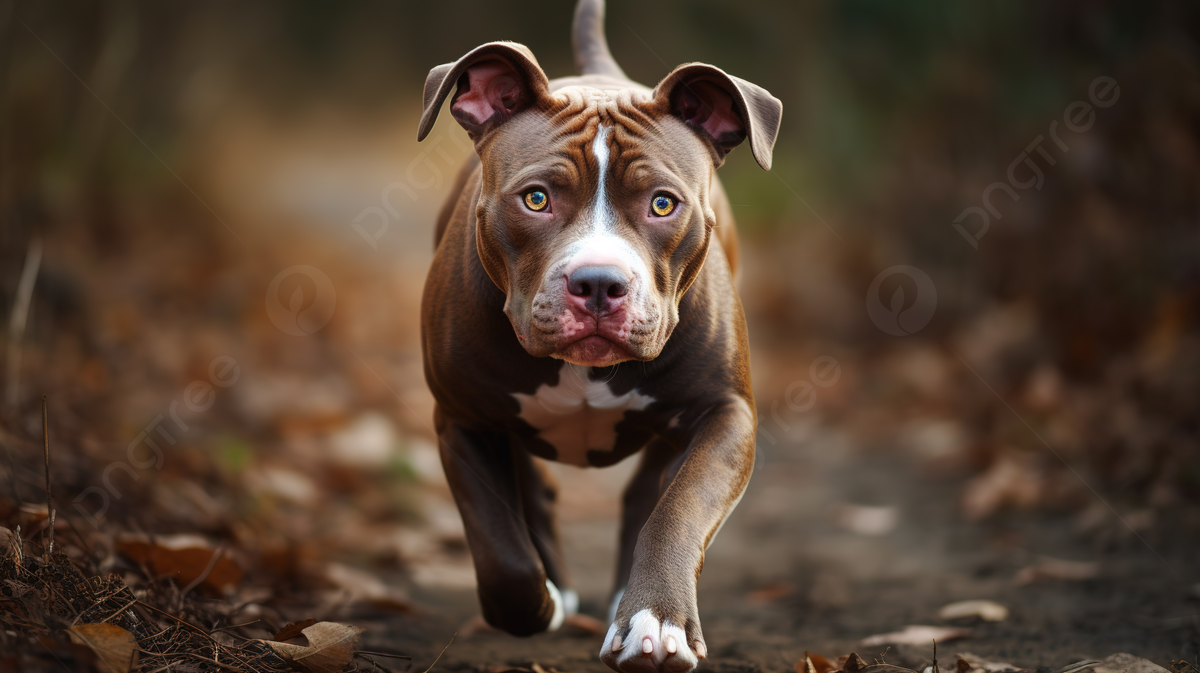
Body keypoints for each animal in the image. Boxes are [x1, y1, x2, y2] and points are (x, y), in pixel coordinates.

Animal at [417, 1, 782, 667]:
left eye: (663, 204)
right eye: (536, 198)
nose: (597, 283)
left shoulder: (726, 414)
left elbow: (678, 509)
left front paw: (655, 619)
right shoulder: (461, 417)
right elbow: (501, 548)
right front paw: (537, 602)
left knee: (646, 492)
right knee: (533, 492)